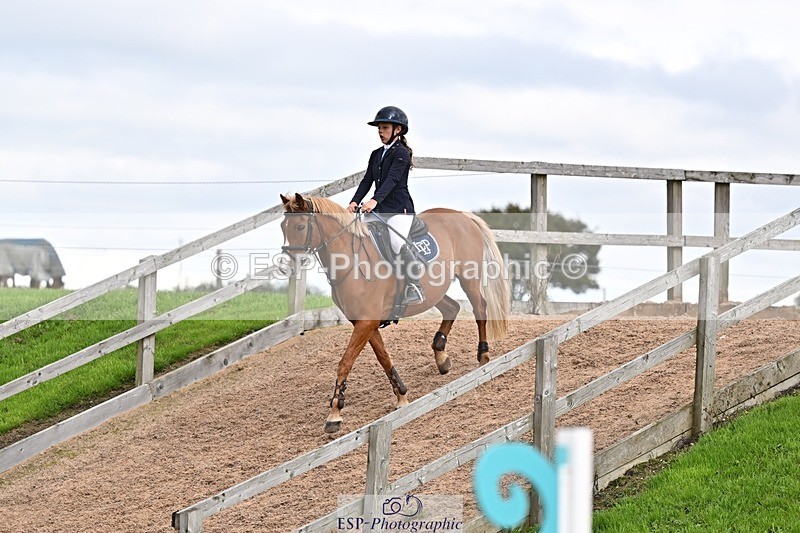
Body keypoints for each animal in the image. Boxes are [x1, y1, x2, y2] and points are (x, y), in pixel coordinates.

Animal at [280, 193, 510, 433]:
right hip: (434, 292)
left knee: (479, 308)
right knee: (452, 308)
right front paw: (401, 396)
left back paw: (483, 355)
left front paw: (334, 413)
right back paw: (441, 356)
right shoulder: (366, 324)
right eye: (282, 227)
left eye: (300, 226)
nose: (286, 267)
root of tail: (462, 215)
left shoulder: (366, 323)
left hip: (468, 278)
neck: (352, 262)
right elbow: (384, 357)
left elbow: (345, 363)